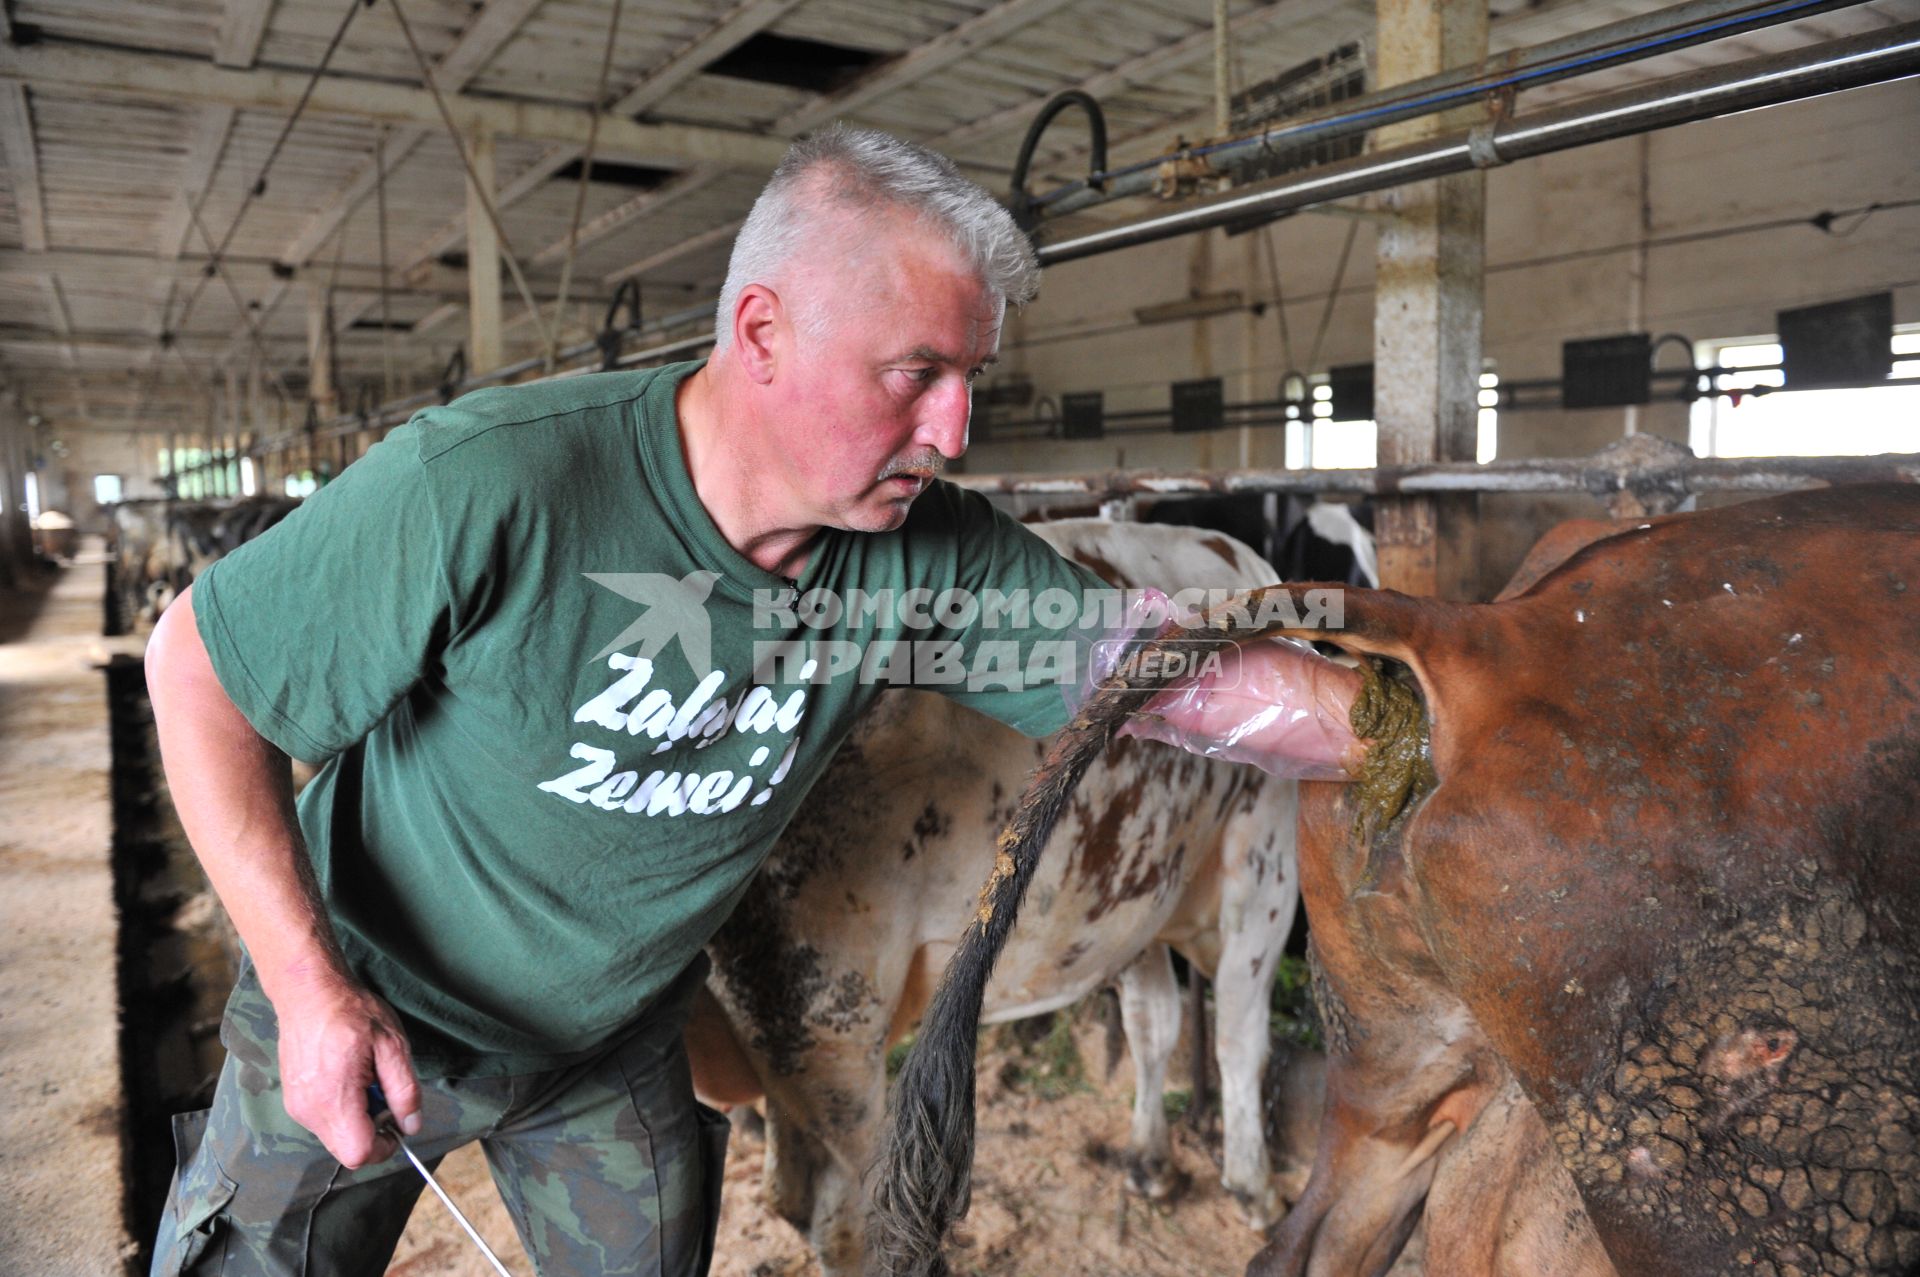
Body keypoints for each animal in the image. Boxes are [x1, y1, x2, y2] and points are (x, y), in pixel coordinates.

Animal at [698, 522, 1313, 1275]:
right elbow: (1240, 1039)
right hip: (827, 1018)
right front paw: (1254, 1189)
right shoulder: (1265, 856)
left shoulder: (1132, 886)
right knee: (837, 1215)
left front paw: (1150, 1162)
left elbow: (1152, 1024)